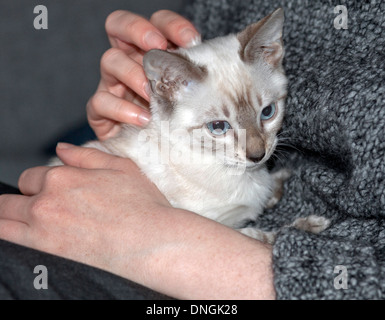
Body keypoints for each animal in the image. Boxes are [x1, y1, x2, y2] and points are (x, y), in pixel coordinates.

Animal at [50, 7, 328, 242]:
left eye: (267, 112)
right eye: (218, 127)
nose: (258, 155)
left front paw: (277, 184)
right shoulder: (217, 225)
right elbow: (266, 236)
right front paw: (312, 224)